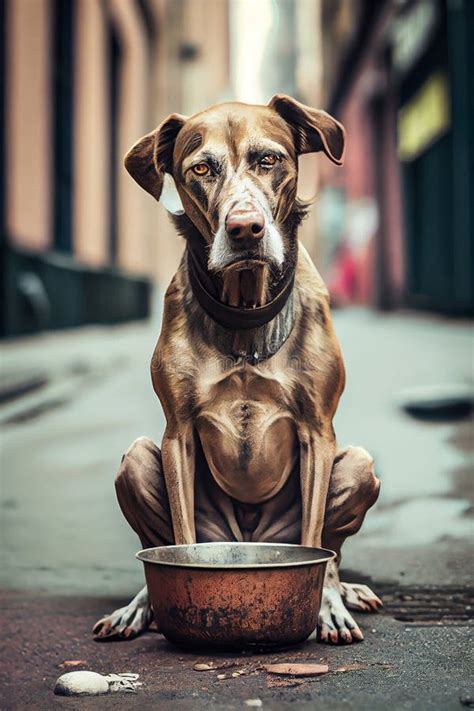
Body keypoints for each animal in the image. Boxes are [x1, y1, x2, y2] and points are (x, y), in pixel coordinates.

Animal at [92, 94, 382, 644]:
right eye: (201, 168)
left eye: (268, 159)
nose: (245, 228)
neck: (247, 309)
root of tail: (248, 534)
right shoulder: (178, 435)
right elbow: (180, 540)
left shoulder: (318, 432)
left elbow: (316, 540)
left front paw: (325, 606)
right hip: (136, 462)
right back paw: (140, 606)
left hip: (358, 464)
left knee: (331, 550)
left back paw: (343, 592)